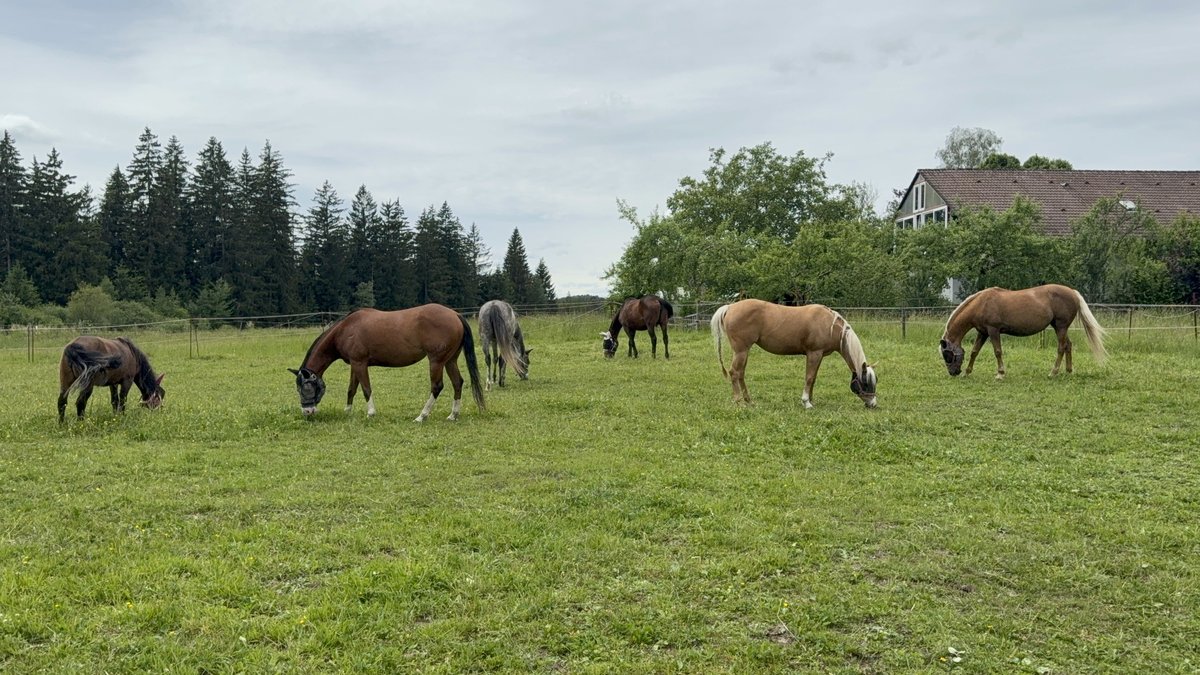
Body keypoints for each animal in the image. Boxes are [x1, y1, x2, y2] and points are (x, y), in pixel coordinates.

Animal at [289, 304, 485, 421]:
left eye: (304, 387)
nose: (307, 412)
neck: (346, 329)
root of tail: (455, 314)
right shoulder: (355, 364)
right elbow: (352, 389)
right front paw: (347, 411)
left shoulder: (359, 363)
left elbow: (366, 389)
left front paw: (370, 413)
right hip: (450, 360)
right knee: (458, 382)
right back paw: (453, 415)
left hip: (436, 361)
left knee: (437, 386)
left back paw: (422, 416)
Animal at [711, 299, 877, 409]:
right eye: (866, 383)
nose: (873, 404)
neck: (829, 325)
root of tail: (730, 307)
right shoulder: (814, 353)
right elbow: (809, 377)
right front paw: (806, 402)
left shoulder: (819, 355)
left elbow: (813, 378)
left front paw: (811, 400)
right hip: (741, 351)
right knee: (734, 372)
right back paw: (739, 402)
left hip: (744, 352)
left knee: (740, 374)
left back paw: (749, 401)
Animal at [939, 284, 1107, 379]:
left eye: (947, 355)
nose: (953, 373)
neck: (981, 303)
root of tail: (1072, 292)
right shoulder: (983, 332)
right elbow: (975, 351)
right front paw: (967, 372)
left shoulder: (993, 331)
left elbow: (997, 351)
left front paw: (1000, 374)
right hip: (1060, 328)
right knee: (1068, 345)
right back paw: (1068, 370)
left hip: (1060, 327)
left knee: (1061, 347)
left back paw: (1053, 372)